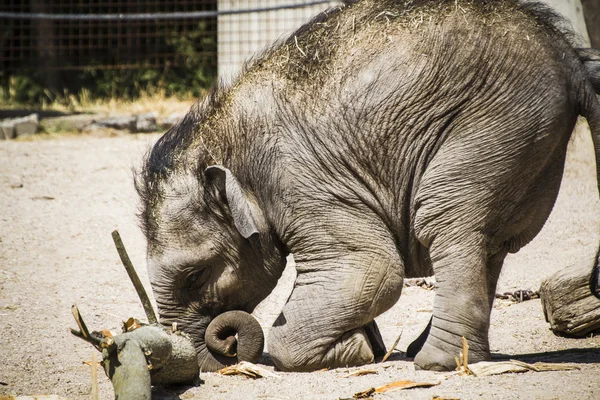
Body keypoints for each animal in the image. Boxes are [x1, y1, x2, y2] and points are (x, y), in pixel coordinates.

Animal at [136, 0, 600, 374]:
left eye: (195, 275)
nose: (226, 342)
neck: (221, 134)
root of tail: (571, 58)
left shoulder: (298, 180)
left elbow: (372, 268)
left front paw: (358, 351)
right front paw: (368, 345)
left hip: (495, 126)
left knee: (447, 224)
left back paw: (435, 363)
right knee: (492, 241)